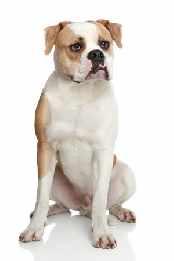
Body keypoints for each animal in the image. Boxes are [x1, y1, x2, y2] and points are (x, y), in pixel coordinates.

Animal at [19, 18, 136, 248]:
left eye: (104, 44)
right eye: (76, 47)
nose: (96, 54)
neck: (80, 91)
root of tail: (83, 208)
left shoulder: (103, 151)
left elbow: (100, 197)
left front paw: (102, 233)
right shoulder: (45, 148)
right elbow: (42, 196)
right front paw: (34, 228)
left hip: (127, 174)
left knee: (109, 204)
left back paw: (121, 212)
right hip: (54, 175)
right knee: (58, 204)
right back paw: (48, 213)